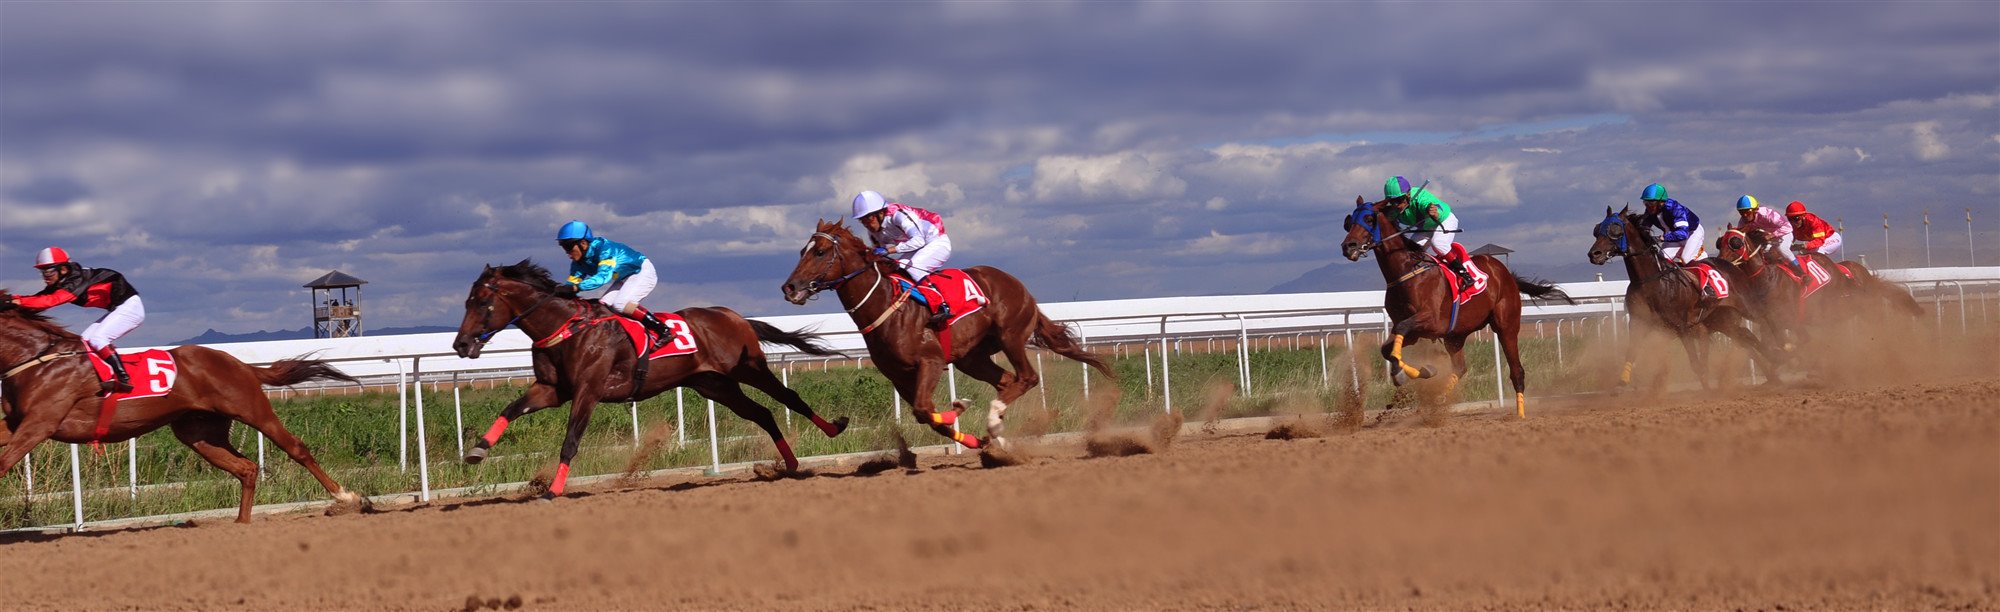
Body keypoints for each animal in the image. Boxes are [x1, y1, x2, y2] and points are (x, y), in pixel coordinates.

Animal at [0, 291, 361, 523]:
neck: (38, 359)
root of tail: (241, 364)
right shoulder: (18, 422)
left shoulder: (41, 424)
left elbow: (3, 463)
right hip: (199, 432)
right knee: (246, 468)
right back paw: (241, 525)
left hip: (252, 410)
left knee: (296, 449)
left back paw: (346, 498)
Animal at [451, 260, 848, 498]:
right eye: (467, 302)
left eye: (481, 303)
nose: (460, 344)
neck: (567, 329)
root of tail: (735, 317)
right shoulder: (551, 390)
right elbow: (510, 409)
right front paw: (477, 450)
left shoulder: (588, 391)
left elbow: (570, 441)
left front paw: (552, 490)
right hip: (715, 385)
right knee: (762, 414)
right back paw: (789, 464)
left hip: (748, 368)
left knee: (789, 398)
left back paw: (833, 429)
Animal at [779, 220, 1112, 450]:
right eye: (801, 251)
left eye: (820, 252)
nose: (790, 287)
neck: (887, 306)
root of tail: (1022, 288)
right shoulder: (898, 376)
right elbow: (925, 416)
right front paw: (974, 440)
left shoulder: (932, 361)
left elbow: (924, 409)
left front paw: (960, 407)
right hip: (972, 358)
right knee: (1007, 381)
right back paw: (996, 433)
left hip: (1011, 335)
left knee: (1027, 378)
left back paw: (994, 419)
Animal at [1338, 198, 1574, 418]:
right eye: (1349, 221)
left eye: (1369, 219)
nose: (1348, 246)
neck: (1407, 273)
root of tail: (1507, 274)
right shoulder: (1414, 331)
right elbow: (1387, 347)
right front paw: (1417, 371)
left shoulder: (1430, 321)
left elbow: (1401, 331)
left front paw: (1404, 372)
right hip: (1455, 336)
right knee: (1460, 368)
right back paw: (1438, 400)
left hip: (1506, 326)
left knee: (1517, 370)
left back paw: (1520, 414)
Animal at [1586, 207, 1784, 389]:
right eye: (1597, 229)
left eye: (1615, 229)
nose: (1594, 254)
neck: (1649, 280)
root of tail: (1732, 265)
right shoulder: (1640, 323)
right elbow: (1632, 352)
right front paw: (1622, 382)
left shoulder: (1681, 326)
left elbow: (1696, 363)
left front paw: (1708, 389)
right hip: (1724, 320)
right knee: (1747, 337)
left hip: (1747, 306)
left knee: (1766, 317)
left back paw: (1783, 351)